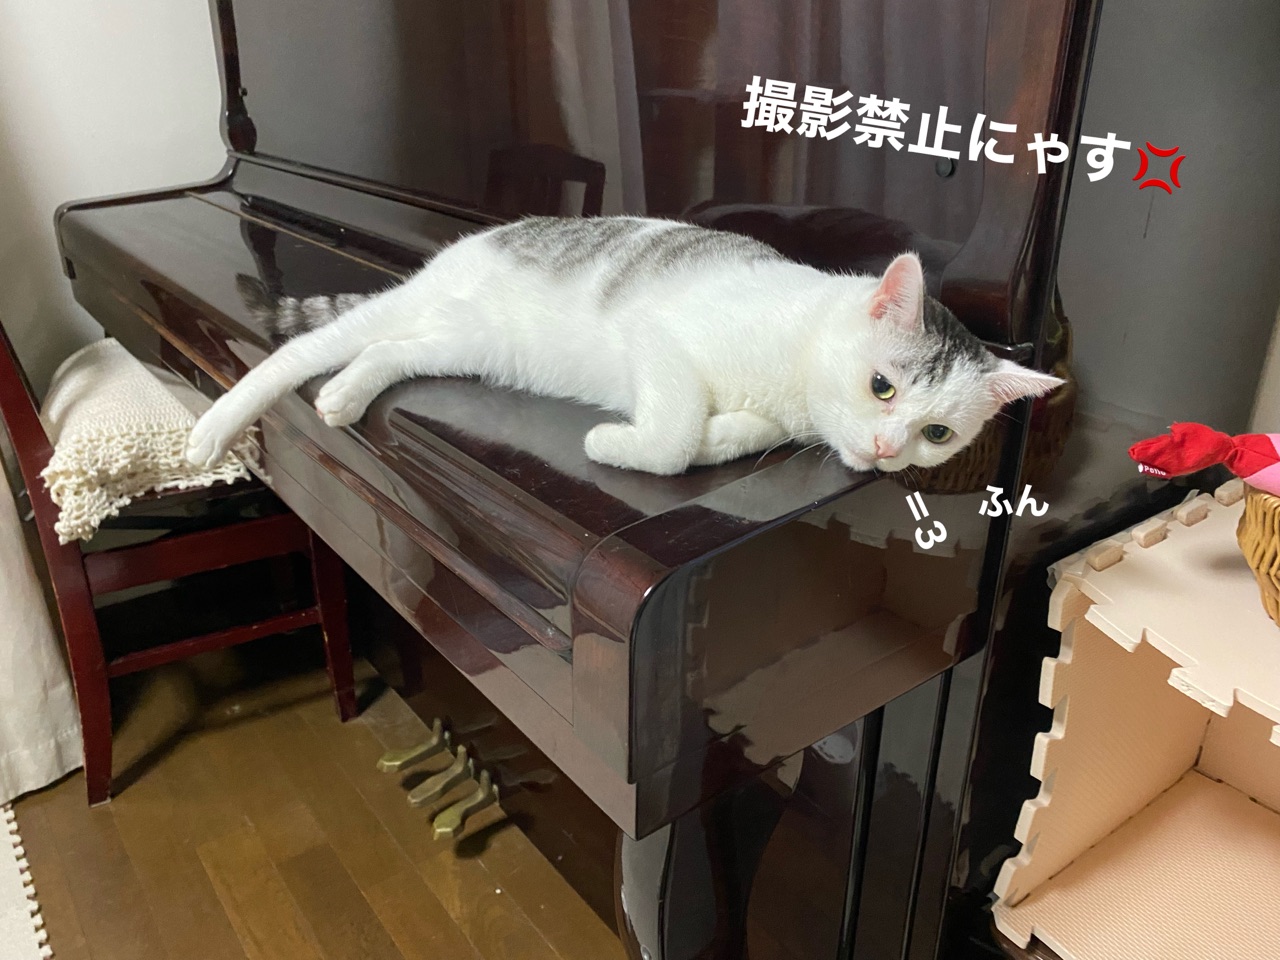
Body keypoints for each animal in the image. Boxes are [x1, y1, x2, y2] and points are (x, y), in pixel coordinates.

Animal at [185, 216, 1062, 476]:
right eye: (883, 386)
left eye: (936, 434)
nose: (886, 451)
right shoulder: (660, 339)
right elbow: (671, 441)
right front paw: (617, 442)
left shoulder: (772, 418)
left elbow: (729, 434)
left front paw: (720, 434)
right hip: (419, 313)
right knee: (307, 349)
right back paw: (211, 432)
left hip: (465, 343)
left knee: (388, 354)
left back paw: (345, 396)